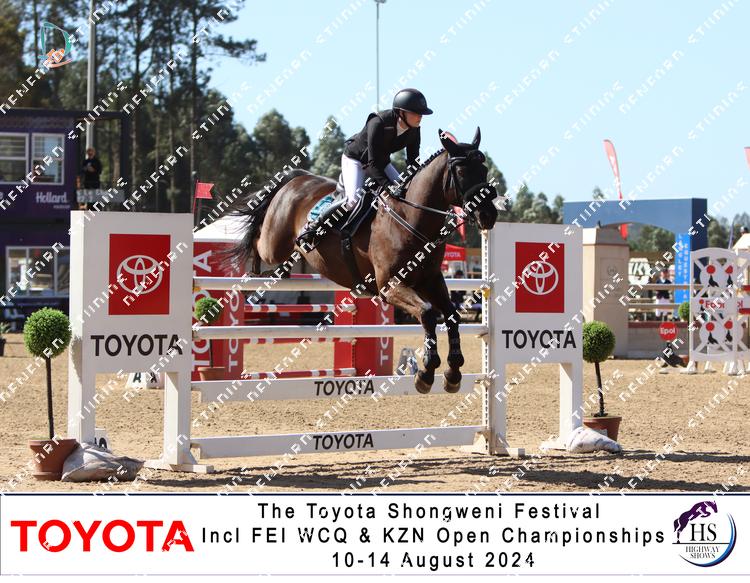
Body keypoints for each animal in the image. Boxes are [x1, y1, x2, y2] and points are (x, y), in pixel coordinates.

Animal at [231, 128, 499, 394]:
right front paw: (426, 371)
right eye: (462, 171)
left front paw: (453, 372)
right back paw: (252, 273)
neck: (410, 218)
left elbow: (452, 315)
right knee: (258, 239)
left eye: (484, 169)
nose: (488, 215)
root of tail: (296, 179)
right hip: (274, 244)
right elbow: (427, 313)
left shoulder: (430, 281)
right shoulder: (390, 286)